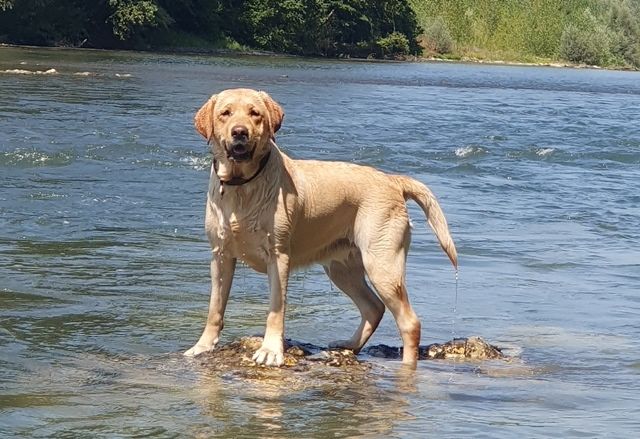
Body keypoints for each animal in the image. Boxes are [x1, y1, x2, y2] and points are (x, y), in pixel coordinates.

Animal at [182, 88, 458, 368]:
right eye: (225, 113)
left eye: (255, 113)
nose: (240, 132)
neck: (242, 186)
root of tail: (393, 180)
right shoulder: (220, 255)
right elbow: (215, 308)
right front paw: (202, 346)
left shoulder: (278, 257)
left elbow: (275, 309)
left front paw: (270, 350)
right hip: (341, 268)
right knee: (373, 307)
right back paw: (349, 345)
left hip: (382, 264)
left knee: (409, 322)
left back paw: (407, 368)